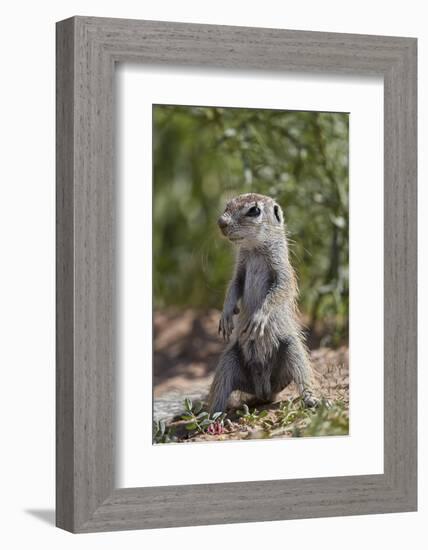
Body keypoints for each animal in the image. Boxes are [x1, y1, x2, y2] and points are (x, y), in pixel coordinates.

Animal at [209, 194, 316, 414]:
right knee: (221, 388)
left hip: (291, 347)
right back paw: (211, 415)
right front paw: (226, 314)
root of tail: (264, 389)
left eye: (254, 211)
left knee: (302, 372)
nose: (221, 222)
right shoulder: (240, 270)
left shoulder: (283, 271)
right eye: (227, 205)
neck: (254, 249)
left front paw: (258, 318)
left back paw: (313, 399)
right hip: (229, 358)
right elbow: (233, 286)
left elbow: (278, 291)